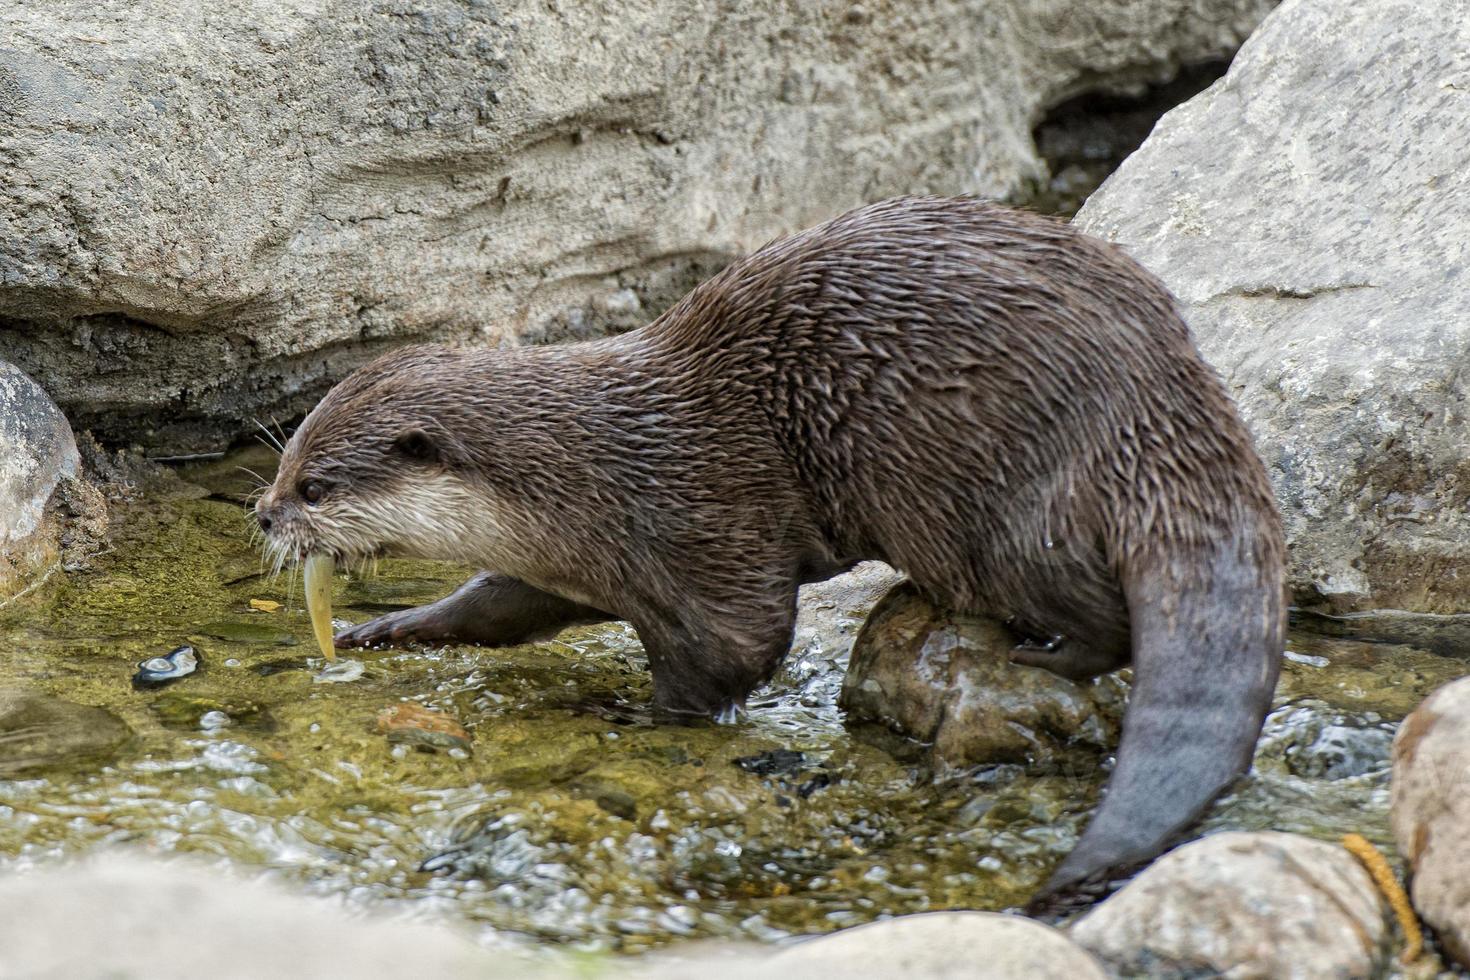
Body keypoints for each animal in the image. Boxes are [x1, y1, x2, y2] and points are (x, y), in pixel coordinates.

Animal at [255, 195, 1287, 910]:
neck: (590, 468)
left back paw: (1048, 651)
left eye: (316, 487)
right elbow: (498, 606)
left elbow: (736, 649)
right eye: (287, 457)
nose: (264, 516)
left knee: (1090, 606)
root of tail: (1157, 389)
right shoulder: (587, 563)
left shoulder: (703, 518)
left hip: (982, 498)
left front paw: (637, 720)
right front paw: (387, 629)